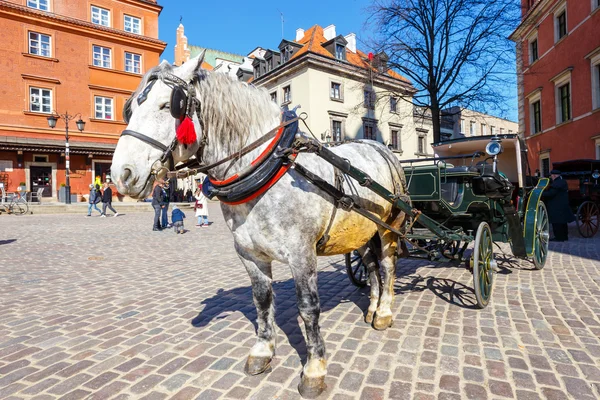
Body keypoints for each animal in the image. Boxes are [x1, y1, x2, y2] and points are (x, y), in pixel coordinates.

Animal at [111, 54, 408, 398]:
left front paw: (314, 369)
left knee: (386, 266)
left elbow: (308, 308)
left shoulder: (301, 254)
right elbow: (262, 301)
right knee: (371, 266)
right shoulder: (249, 254)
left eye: (168, 105)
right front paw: (263, 351)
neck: (270, 167)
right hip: (361, 230)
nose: (121, 174)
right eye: (131, 109)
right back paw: (372, 307)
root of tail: (380, 148)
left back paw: (384, 312)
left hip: (389, 226)